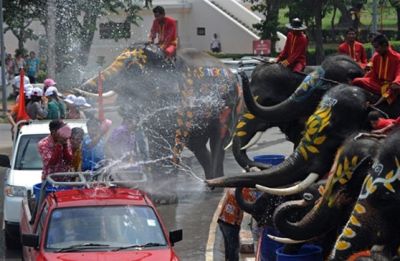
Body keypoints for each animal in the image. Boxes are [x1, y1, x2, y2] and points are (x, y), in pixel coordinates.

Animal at [76, 44, 242, 179]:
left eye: (133, 69)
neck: (166, 58)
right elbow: (155, 138)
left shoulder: (182, 100)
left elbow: (176, 138)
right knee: (198, 146)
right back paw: (209, 181)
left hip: (230, 107)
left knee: (218, 142)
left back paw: (216, 181)